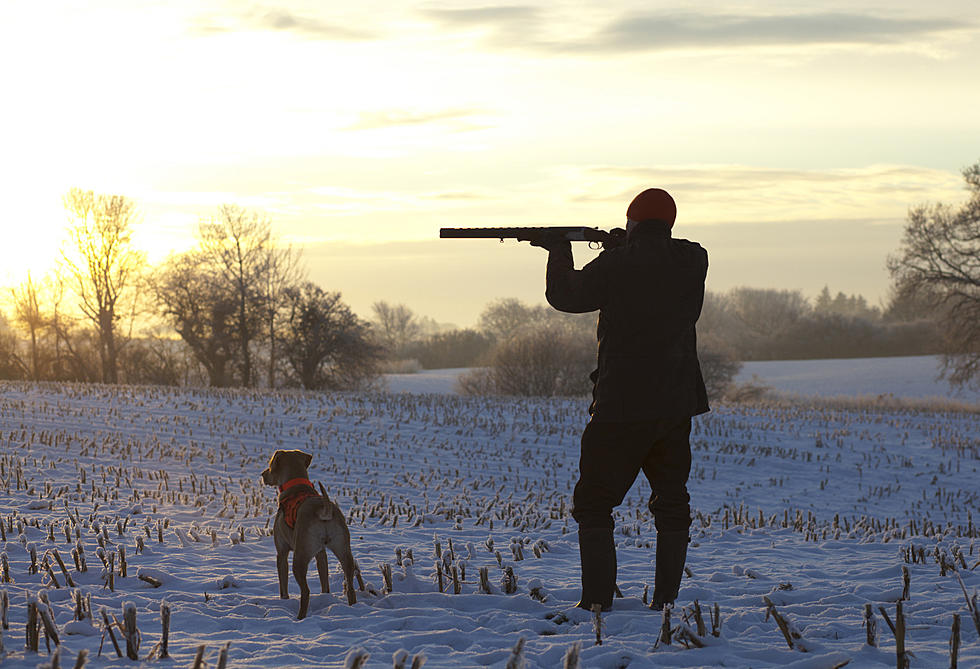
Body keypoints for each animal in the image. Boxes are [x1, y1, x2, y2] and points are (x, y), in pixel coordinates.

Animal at [260, 446, 356, 620]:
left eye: (270, 465)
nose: (263, 474)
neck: (297, 484)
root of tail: (324, 509)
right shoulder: (321, 553)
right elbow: (324, 578)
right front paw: (325, 596)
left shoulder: (282, 552)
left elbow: (283, 585)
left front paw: (284, 600)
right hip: (344, 550)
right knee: (351, 586)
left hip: (300, 557)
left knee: (305, 591)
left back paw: (300, 617)